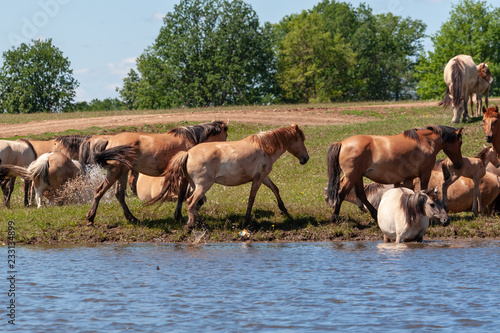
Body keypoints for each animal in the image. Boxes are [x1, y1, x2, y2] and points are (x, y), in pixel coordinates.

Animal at [83, 120, 229, 226]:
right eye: (226, 135)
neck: (191, 139)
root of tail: (110, 140)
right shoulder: (183, 175)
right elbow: (182, 194)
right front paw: (180, 215)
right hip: (116, 171)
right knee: (100, 191)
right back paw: (91, 218)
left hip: (122, 172)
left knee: (119, 194)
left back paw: (132, 218)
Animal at [146, 123, 308, 230]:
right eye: (302, 140)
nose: (306, 159)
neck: (264, 148)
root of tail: (188, 153)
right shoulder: (258, 179)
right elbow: (251, 198)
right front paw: (247, 221)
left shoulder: (263, 177)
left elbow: (275, 189)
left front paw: (284, 210)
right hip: (203, 185)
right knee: (191, 202)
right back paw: (192, 226)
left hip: (194, 185)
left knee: (191, 202)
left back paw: (201, 223)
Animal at [326, 124, 462, 223]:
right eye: (460, 142)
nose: (459, 164)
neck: (425, 142)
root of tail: (342, 143)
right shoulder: (425, 173)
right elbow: (423, 191)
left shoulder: (408, 178)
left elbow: (409, 193)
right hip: (352, 177)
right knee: (341, 193)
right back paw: (334, 217)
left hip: (357, 177)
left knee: (361, 194)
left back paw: (375, 214)